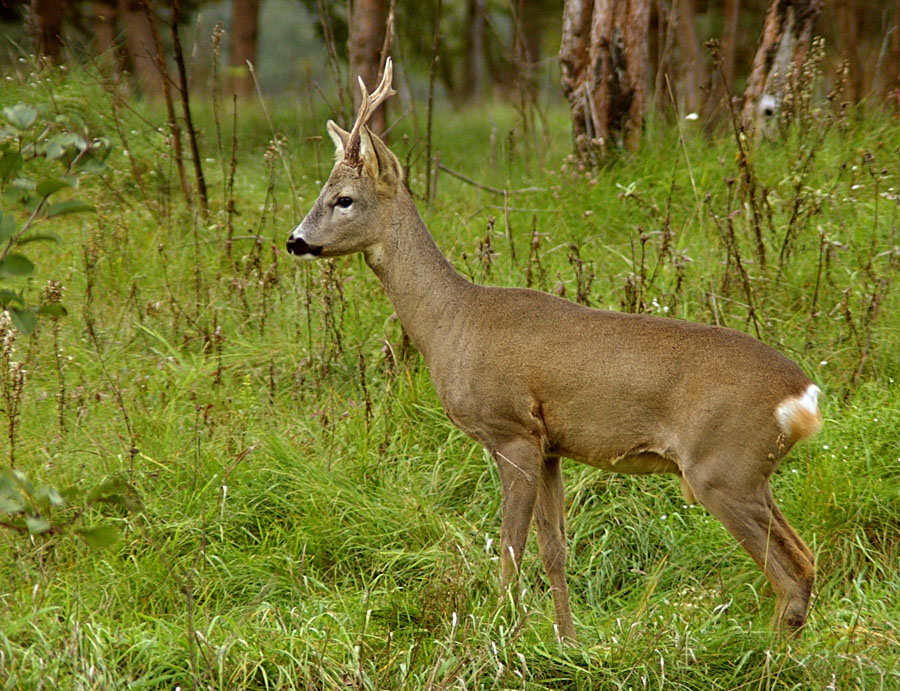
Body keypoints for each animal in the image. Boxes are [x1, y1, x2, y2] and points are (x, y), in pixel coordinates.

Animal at [288, 60, 824, 644]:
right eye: (322, 190)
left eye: (344, 199)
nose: (294, 240)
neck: (454, 321)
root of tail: (804, 396)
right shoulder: (550, 446)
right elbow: (555, 550)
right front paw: (567, 641)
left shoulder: (512, 433)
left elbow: (510, 550)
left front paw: (500, 638)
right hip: (751, 474)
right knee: (805, 560)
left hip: (721, 468)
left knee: (792, 572)